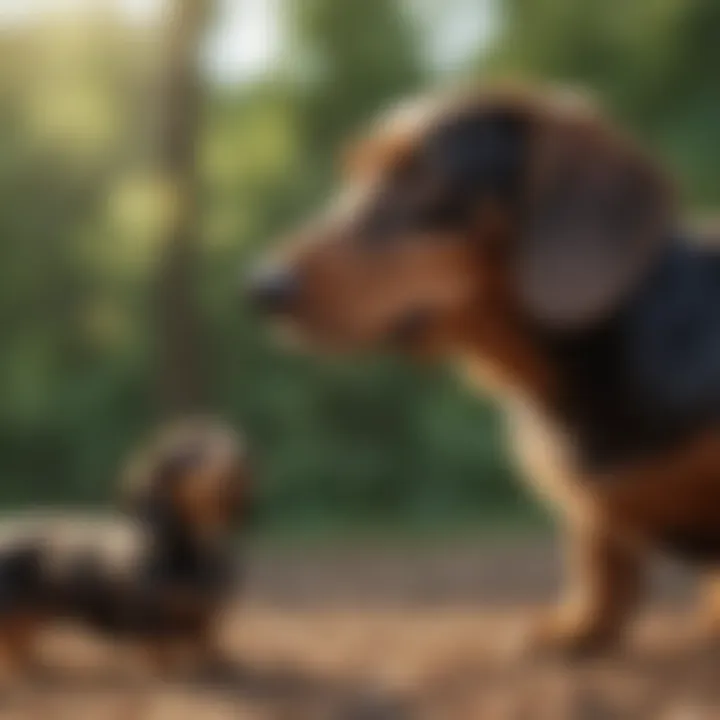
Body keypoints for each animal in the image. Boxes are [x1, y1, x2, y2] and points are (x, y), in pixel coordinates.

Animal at [0, 420, 249, 676]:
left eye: (223, 438)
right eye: (189, 451)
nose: (237, 459)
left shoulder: (206, 618)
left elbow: (206, 642)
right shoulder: (147, 618)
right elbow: (158, 648)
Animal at [249, 84, 720, 660]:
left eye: (419, 176)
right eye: (355, 173)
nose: (262, 287)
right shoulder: (588, 516)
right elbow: (600, 555)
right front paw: (579, 626)